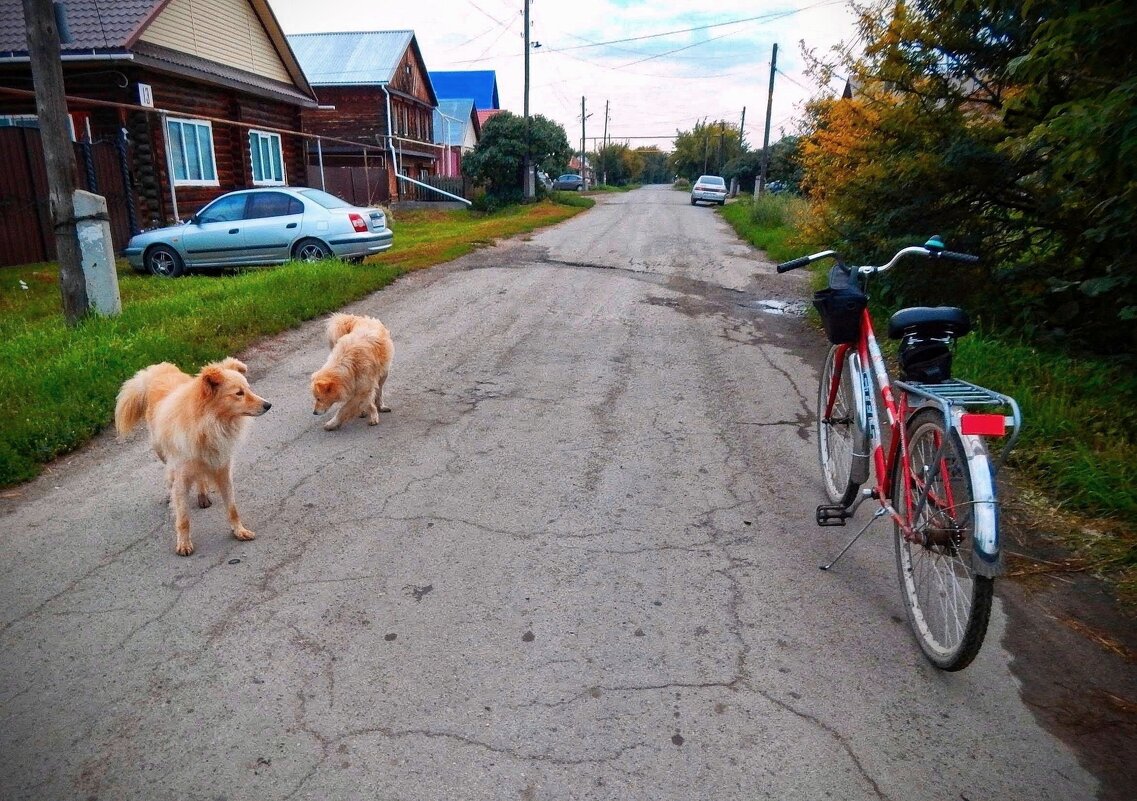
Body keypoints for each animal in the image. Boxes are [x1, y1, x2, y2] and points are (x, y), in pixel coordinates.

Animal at [114, 357, 270, 557]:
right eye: (239, 393)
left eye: (249, 389)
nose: (268, 405)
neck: (210, 424)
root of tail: (157, 370)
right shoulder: (182, 477)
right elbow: (183, 518)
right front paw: (183, 543)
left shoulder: (222, 469)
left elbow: (232, 508)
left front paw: (239, 531)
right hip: (160, 450)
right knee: (171, 472)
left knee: (200, 477)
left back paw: (202, 494)